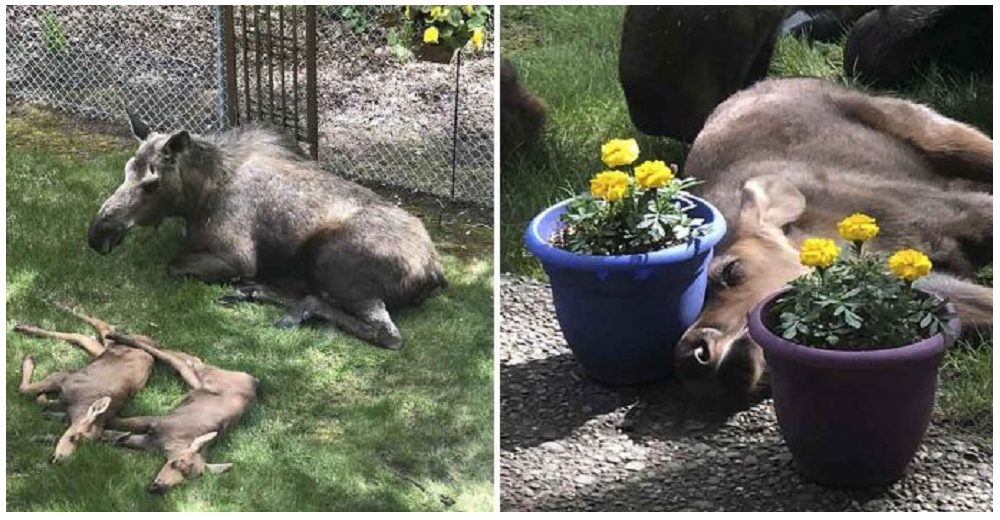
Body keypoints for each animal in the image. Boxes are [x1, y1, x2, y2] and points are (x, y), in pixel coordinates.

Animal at [14, 304, 154, 464]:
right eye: (74, 436)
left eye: (86, 445)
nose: (61, 459)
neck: (77, 407)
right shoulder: (64, 377)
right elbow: (25, 389)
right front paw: (29, 363)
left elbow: (41, 401)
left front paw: (43, 397)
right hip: (112, 346)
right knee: (100, 327)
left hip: (104, 350)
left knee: (83, 335)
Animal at [88, 116, 448, 348]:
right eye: (126, 170)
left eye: (151, 183)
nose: (98, 232)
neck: (198, 197)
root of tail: (433, 272)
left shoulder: (237, 258)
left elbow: (173, 264)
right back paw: (258, 292)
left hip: (332, 260)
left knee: (386, 334)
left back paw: (287, 305)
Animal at [101, 332, 256, 494]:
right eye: (176, 462)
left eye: (187, 479)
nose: (158, 487)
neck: (169, 444)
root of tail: (255, 380)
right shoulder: (156, 422)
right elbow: (118, 422)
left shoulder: (149, 442)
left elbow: (118, 437)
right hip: (206, 374)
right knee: (174, 356)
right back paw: (114, 336)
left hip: (195, 380)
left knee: (183, 357)